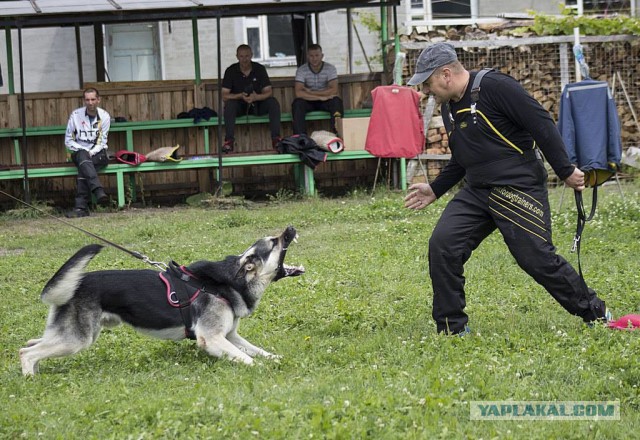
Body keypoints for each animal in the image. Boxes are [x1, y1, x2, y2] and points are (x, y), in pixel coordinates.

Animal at [17, 227, 302, 374]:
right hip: (76, 340)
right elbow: (247, 359)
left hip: (72, 335)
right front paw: (262, 368)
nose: (291, 229)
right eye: (274, 242)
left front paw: (275, 359)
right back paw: (31, 378)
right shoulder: (212, 338)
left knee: (30, 344)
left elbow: (258, 351)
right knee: (26, 352)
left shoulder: (230, 336)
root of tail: (77, 282)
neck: (229, 282)